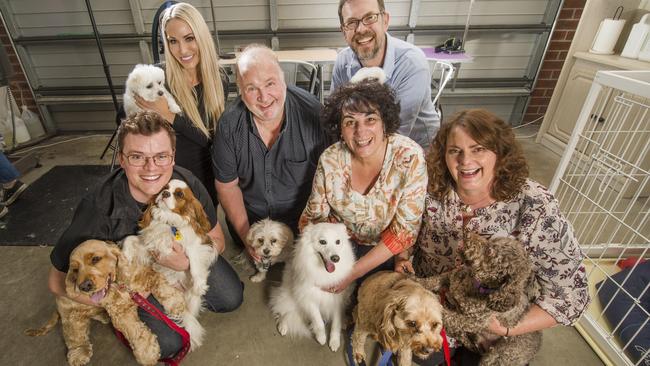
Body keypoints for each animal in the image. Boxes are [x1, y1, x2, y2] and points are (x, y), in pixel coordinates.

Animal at [26, 240, 185, 366]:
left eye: (95, 259)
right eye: (75, 270)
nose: (84, 286)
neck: (119, 283)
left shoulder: (145, 275)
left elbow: (161, 284)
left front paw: (176, 303)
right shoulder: (121, 313)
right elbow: (135, 331)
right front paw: (147, 353)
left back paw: (102, 317)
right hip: (71, 316)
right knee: (74, 336)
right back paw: (79, 354)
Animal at [123, 179, 219, 348]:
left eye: (179, 194)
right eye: (164, 188)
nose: (165, 193)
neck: (168, 221)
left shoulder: (197, 245)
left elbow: (194, 263)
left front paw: (199, 284)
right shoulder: (150, 247)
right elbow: (129, 238)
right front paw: (126, 255)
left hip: (192, 299)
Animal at [268, 220, 354, 352]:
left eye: (338, 242)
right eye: (322, 242)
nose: (335, 258)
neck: (324, 273)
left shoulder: (337, 299)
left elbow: (336, 324)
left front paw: (334, 342)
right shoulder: (309, 299)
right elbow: (318, 322)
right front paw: (321, 338)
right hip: (290, 297)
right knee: (285, 311)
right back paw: (283, 327)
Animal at [418, 234, 540, 366]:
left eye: (489, 251)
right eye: (492, 240)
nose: (468, 235)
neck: (477, 285)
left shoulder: (473, 321)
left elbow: (447, 315)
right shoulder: (449, 277)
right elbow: (432, 280)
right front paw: (415, 280)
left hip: (498, 357)